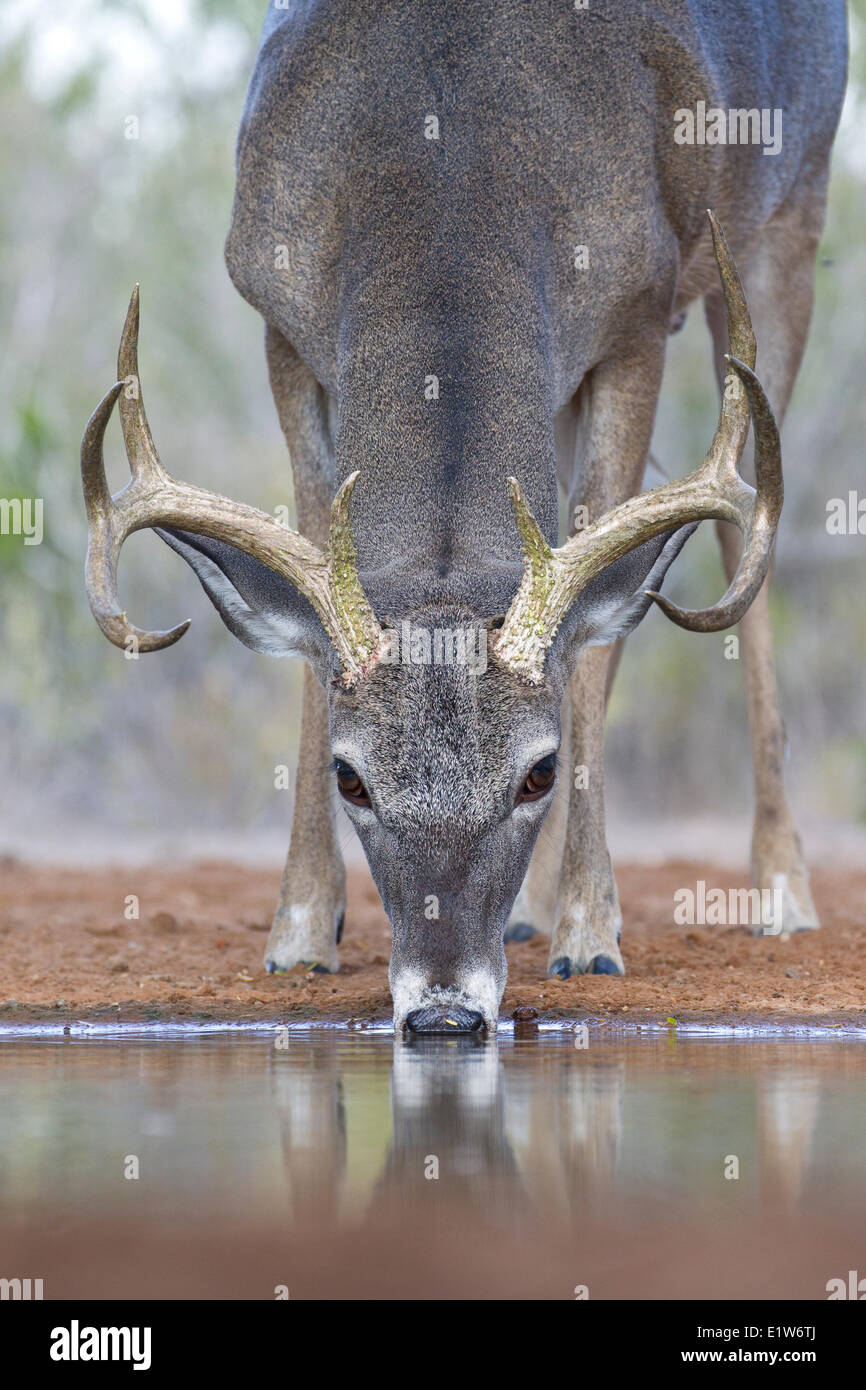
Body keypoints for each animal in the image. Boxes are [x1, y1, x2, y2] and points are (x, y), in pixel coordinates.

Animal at [80, 1, 846, 1033]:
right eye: (350, 775)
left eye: (539, 771)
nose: (444, 1010)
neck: (444, 164)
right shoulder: (282, 321)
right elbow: (317, 588)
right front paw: (299, 932)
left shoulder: (637, 316)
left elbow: (592, 649)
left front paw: (591, 936)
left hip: (786, 224)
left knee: (743, 515)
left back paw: (778, 890)